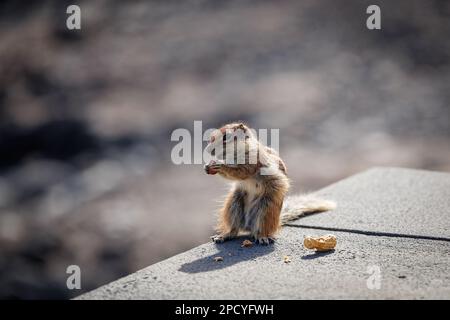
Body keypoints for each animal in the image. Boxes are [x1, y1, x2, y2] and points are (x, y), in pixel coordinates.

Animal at [204, 122, 334, 245]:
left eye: (226, 136)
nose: (208, 150)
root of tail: (248, 226)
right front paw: (207, 167)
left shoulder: (253, 160)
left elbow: (241, 172)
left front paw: (221, 165)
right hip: (233, 204)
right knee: (234, 229)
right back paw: (224, 235)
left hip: (266, 208)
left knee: (261, 229)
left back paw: (262, 237)